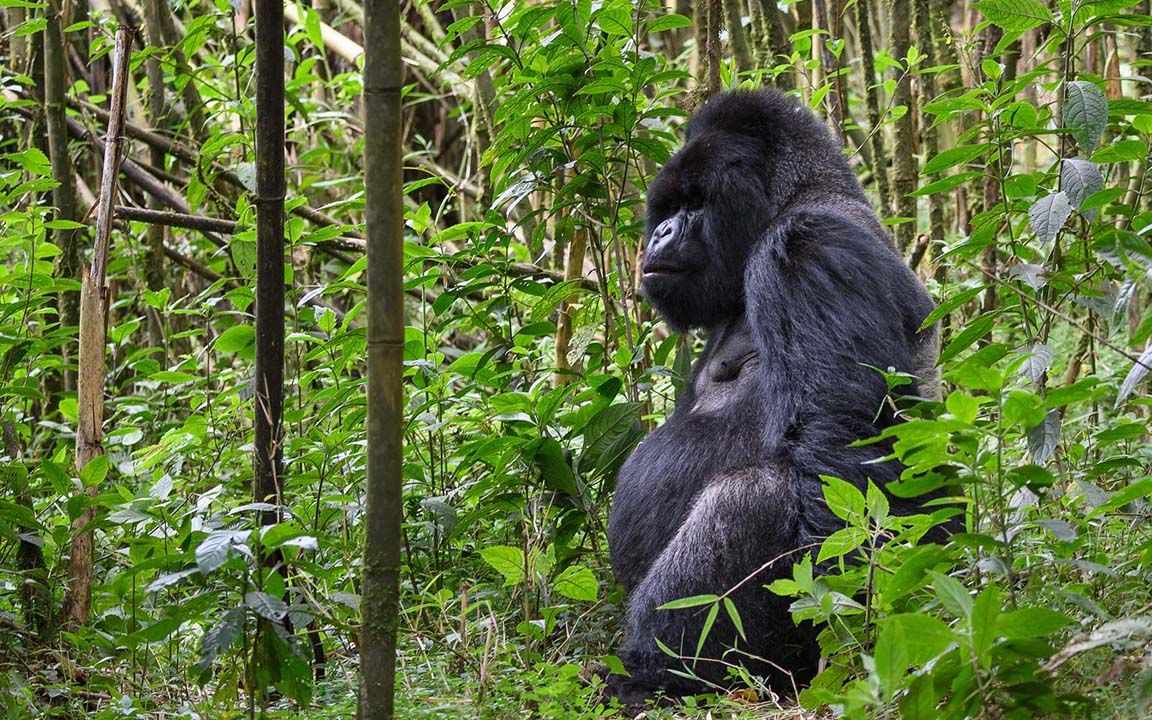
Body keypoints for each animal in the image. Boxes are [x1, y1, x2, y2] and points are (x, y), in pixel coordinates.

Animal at [603, 91, 944, 700]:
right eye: (668, 207)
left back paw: (651, 676)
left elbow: (841, 443)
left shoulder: (806, 247)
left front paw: (844, 635)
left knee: (755, 494)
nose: (659, 235)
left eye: (695, 203)